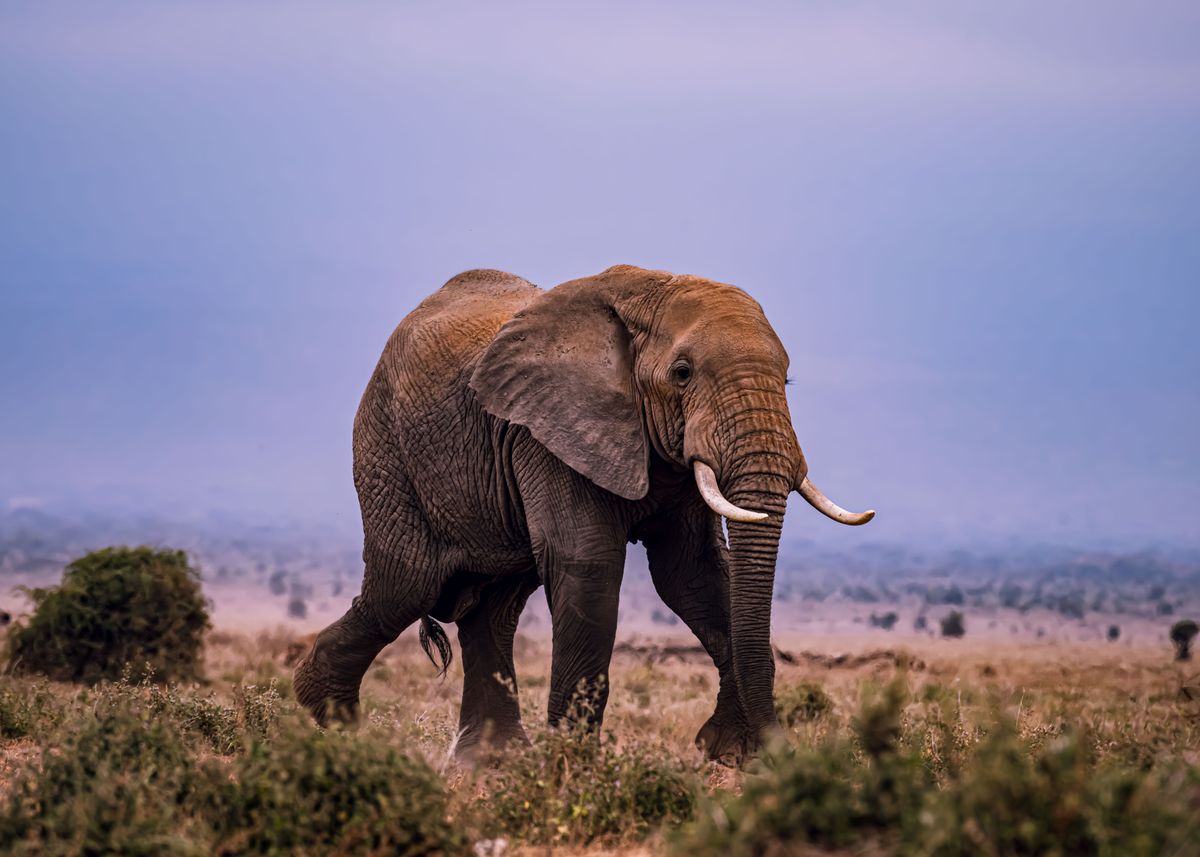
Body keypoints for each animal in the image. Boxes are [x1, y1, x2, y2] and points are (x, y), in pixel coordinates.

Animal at [294, 264, 874, 763]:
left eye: (788, 380)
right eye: (682, 373)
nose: (784, 755)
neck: (650, 292)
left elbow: (696, 575)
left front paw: (732, 756)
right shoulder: (547, 432)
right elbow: (588, 566)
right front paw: (571, 776)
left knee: (493, 609)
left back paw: (491, 766)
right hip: (386, 448)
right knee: (407, 584)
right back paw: (325, 717)